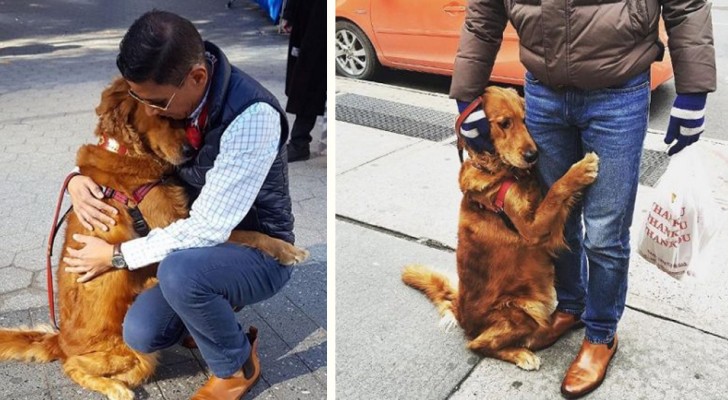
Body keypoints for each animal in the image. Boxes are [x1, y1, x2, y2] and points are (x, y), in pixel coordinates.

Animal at [0, 78, 310, 400]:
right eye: (161, 116)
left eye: (182, 119)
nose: (189, 150)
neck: (127, 151)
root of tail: (60, 339)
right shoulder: (171, 223)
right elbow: (242, 232)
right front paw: (287, 249)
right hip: (135, 355)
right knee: (73, 366)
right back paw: (117, 387)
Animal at [400, 86, 600, 370]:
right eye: (505, 123)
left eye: (526, 120)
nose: (533, 155)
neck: (505, 173)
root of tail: (461, 312)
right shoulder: (531, 229)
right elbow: (556, 190)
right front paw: (580, 170)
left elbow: (551, 193)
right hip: (522, 307)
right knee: (479, 344)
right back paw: (523, 352)